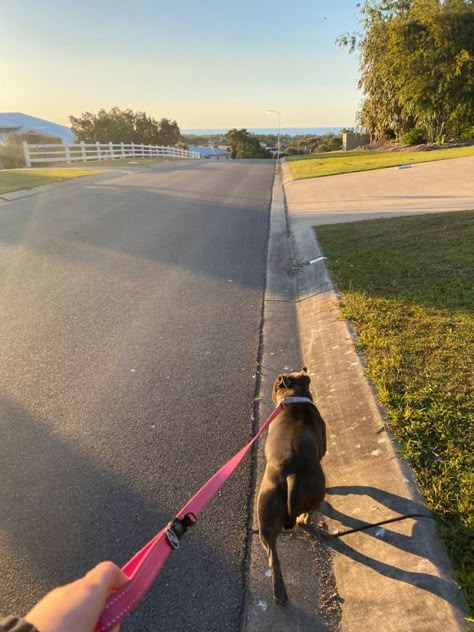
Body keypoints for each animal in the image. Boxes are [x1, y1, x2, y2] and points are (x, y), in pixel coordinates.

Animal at [256, 368, 326, 604]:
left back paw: (279, 594)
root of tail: (290, 475)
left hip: (266, 518)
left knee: (273, 559)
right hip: (317, 492)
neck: (295, 396)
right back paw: (305, 521)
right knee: (308, 513)